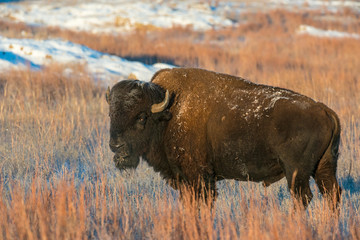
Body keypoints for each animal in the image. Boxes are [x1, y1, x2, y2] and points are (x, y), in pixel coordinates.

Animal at [105, 68, 342, 208]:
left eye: (141, 116)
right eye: (111, 114)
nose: (116, 146)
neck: (170, 111)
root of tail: (324, 110)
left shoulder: (199, 177)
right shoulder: (185, 179)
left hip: (296, 171)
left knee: (303, 197)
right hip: (324, 167)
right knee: (332, 194)